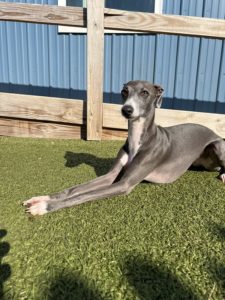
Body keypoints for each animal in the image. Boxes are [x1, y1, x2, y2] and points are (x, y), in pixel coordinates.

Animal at [23, 81, 225, 214]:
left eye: (145, 93)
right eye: (124, 91)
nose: (126, 110)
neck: (138, 139)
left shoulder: (124, 184)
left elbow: (82, 196)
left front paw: (44, 207)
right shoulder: (111, 176)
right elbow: (74, 190)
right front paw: (42, 199)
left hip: (217, 144)